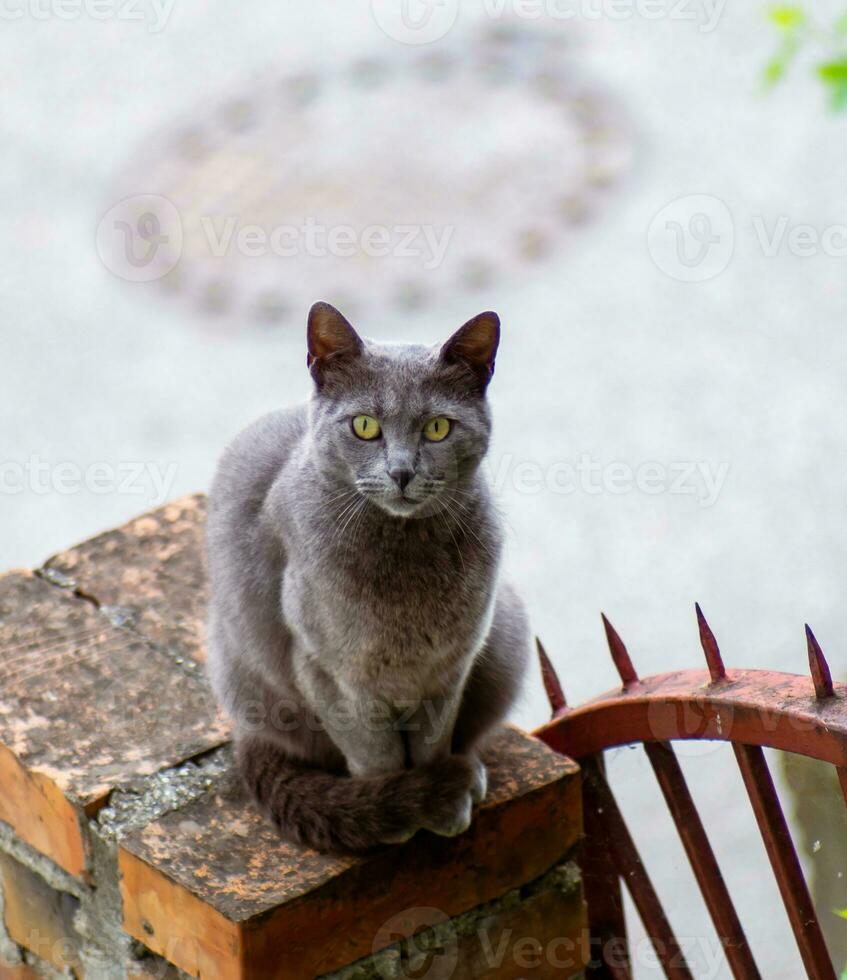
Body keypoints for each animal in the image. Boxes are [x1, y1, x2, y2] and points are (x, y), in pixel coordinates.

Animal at [207, 302, 528, 852]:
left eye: (438, 428)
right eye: (363, 425)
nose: (401, 472)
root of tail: (247, 734)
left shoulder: (448, 669)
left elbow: (432, 743)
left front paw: (441, 796)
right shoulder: (328, 673)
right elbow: (375, 754)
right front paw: (404, 801)